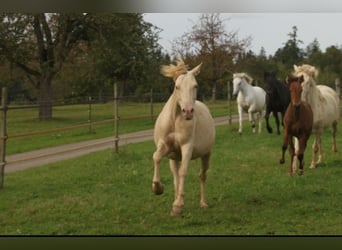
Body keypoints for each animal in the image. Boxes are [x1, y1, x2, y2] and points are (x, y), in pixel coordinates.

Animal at [152, 58, 215, 215]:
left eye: (195, 86)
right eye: (177, 87)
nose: (188, 111)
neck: (175, 120)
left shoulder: (187, 147)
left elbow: (183, 172)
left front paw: (178, 206)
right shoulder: (164, 145)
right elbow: (156, 157)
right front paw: (158, 188)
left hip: (206, 154)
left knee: (202, 175)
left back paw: (203, 203)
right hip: (173, 158)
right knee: (175, 176)